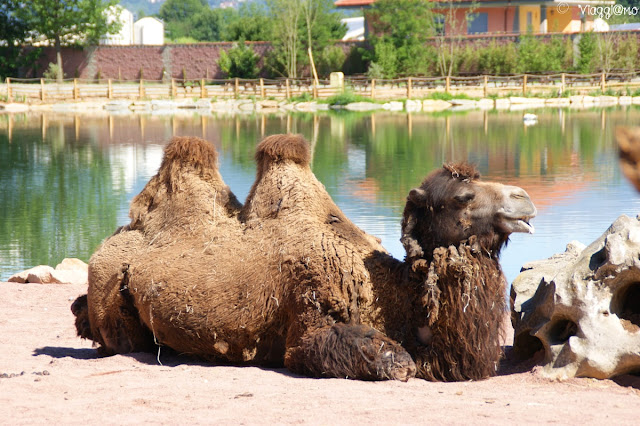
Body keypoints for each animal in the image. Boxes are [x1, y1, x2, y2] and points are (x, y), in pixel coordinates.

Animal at [72, 135, 536, 382]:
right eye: (462, 196)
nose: (523, 200)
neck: (387, 295)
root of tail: (104, 246)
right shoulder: (308, 318)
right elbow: (396, 360)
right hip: (111, 289)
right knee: (119, 339)